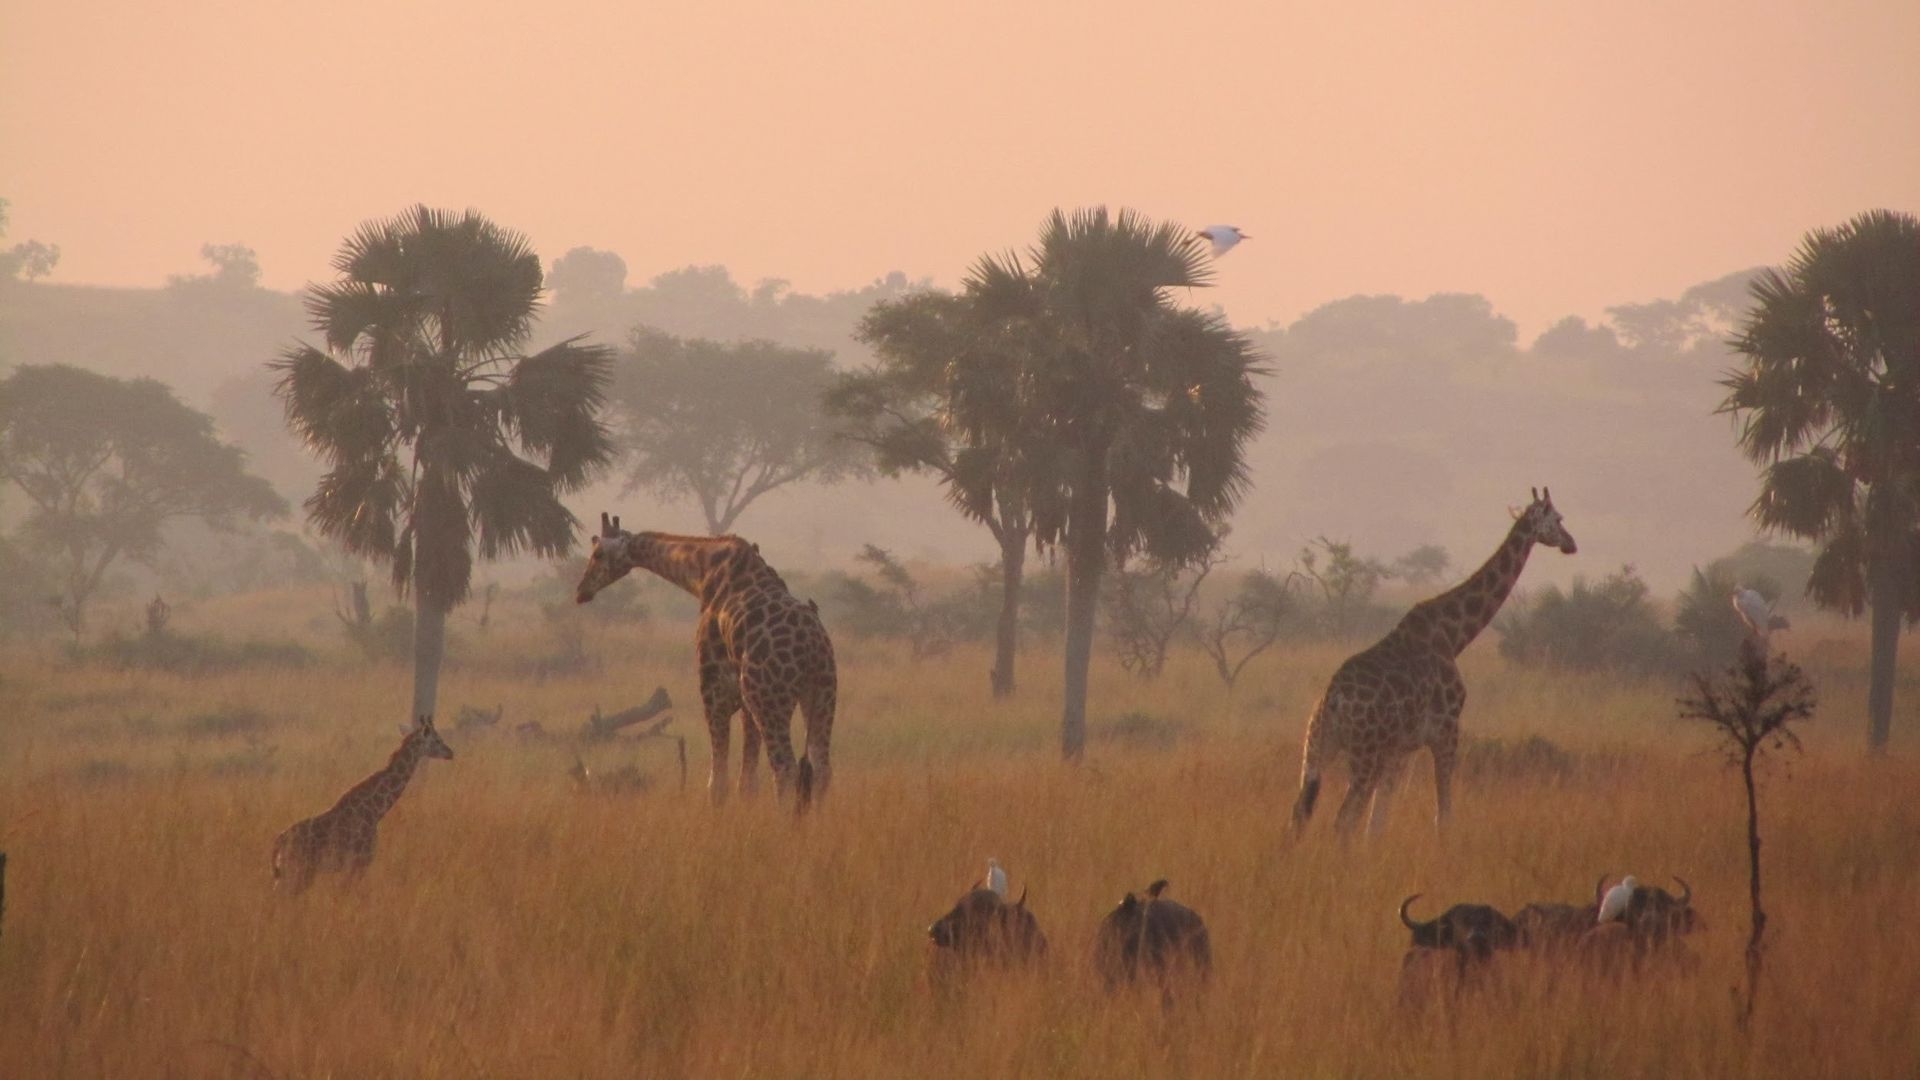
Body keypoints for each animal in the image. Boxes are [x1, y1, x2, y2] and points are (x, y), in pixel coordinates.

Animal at [272, 711, 451, 887]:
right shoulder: (359, 862)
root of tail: (278, 842)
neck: (375, 811)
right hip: (300, 872)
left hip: (288, 874)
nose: (450, 753)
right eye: (437, 739)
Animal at [572, 511, 837, 799]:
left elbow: (717, 780)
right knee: (821, 769)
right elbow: (747, 781)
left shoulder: (714, 687)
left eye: (598, 553)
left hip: (770, 700)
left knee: (785, 769)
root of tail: (813, 647)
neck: (701, 572)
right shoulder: (745, 700)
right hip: (821, 695)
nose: (581, 591)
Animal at [1290, 486, 1574, 834]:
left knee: (1300, 815)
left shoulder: (1401, 748)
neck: (1453, 637)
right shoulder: (1447, 730)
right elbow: (1443, 815)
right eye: (1558, 518)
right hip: (1363, 752)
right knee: (1343, 820)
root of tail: (1333, 699)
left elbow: (1377, 822)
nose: (1571, 544)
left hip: (1317, 747)